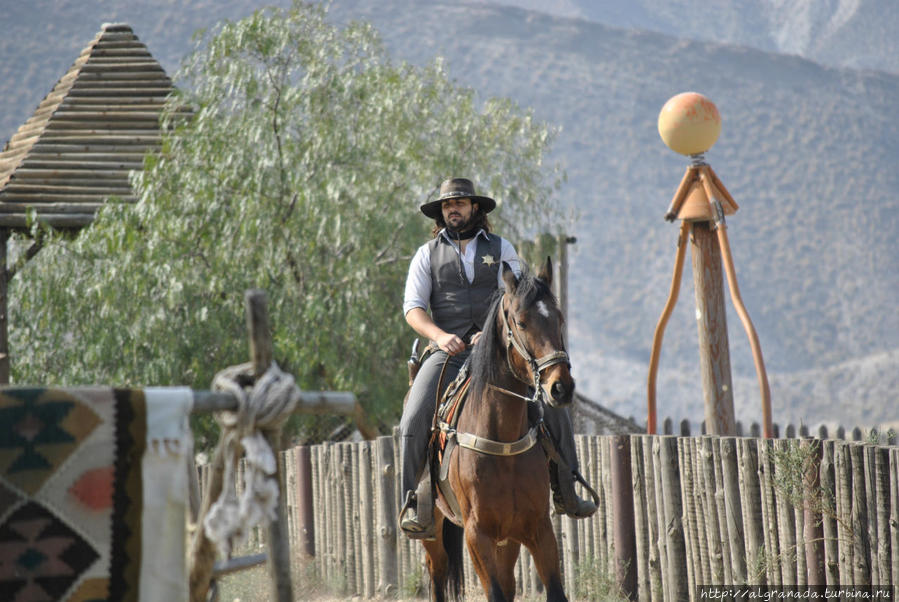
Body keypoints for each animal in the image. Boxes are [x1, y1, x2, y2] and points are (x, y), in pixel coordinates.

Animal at [426, 258, 572, 600]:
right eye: (521, 322)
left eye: (559, 319)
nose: (560, 387)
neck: (501, 441)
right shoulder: (477, 536)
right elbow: (494, 591)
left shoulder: (537, 529)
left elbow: (553, 590)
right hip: (433, 532)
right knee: (437, 573)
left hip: (508, 540)